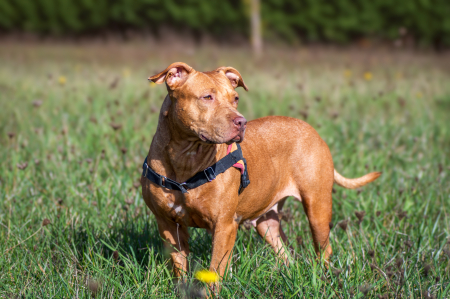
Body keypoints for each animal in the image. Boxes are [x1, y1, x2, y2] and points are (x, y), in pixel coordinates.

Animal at [141, 62, 380, 280]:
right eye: (207, 97)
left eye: (235, 98)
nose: (241, 122)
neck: (186, 158)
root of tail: (313, 131)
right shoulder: (169, 226)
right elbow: (180, 268)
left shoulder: (224, 226)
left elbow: (215, 271)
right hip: (266, 222)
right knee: (285, 252)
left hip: (317, 207)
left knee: (323, 248)